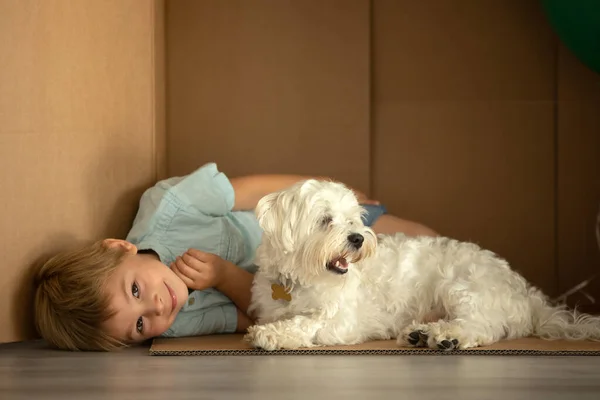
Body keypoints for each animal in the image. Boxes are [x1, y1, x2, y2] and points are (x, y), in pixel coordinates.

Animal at [243, 180, 600, 352]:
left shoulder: (342, 319)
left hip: (464, 286)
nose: (358, 238)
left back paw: (446, 336)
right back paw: (420, 333)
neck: (301, 279)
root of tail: (525, 292)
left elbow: (306, 322)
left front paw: (271, 335)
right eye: (325, 220)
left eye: (354, 219)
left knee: (481, 325)